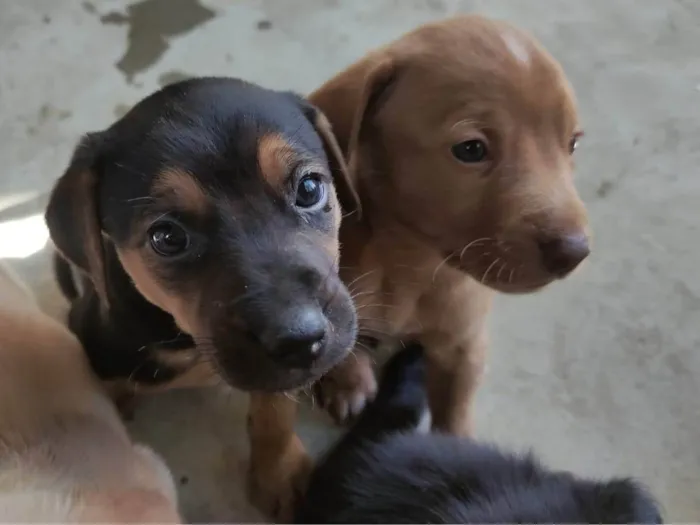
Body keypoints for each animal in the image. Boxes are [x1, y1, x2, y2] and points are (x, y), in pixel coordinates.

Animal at [43, 75, 358, 516]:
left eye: (309, 188)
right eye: (167, 237)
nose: (301, 339)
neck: (190, 340)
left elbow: (275, 412)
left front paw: (279, 472)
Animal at [308, 15, 592, 434]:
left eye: (572, 144)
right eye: (471, 149)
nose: (575, 252)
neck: (410, 262)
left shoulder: (465, 346)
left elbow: (455, 415)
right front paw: (348, 382)